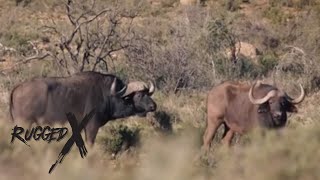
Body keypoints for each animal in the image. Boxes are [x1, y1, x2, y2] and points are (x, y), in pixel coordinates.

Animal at [10, 71, 158, 146]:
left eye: (148, 93)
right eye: (139, 95)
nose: (153, 106)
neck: (108, 95)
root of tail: (17, 88)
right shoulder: (92, 126)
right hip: (23, 123)